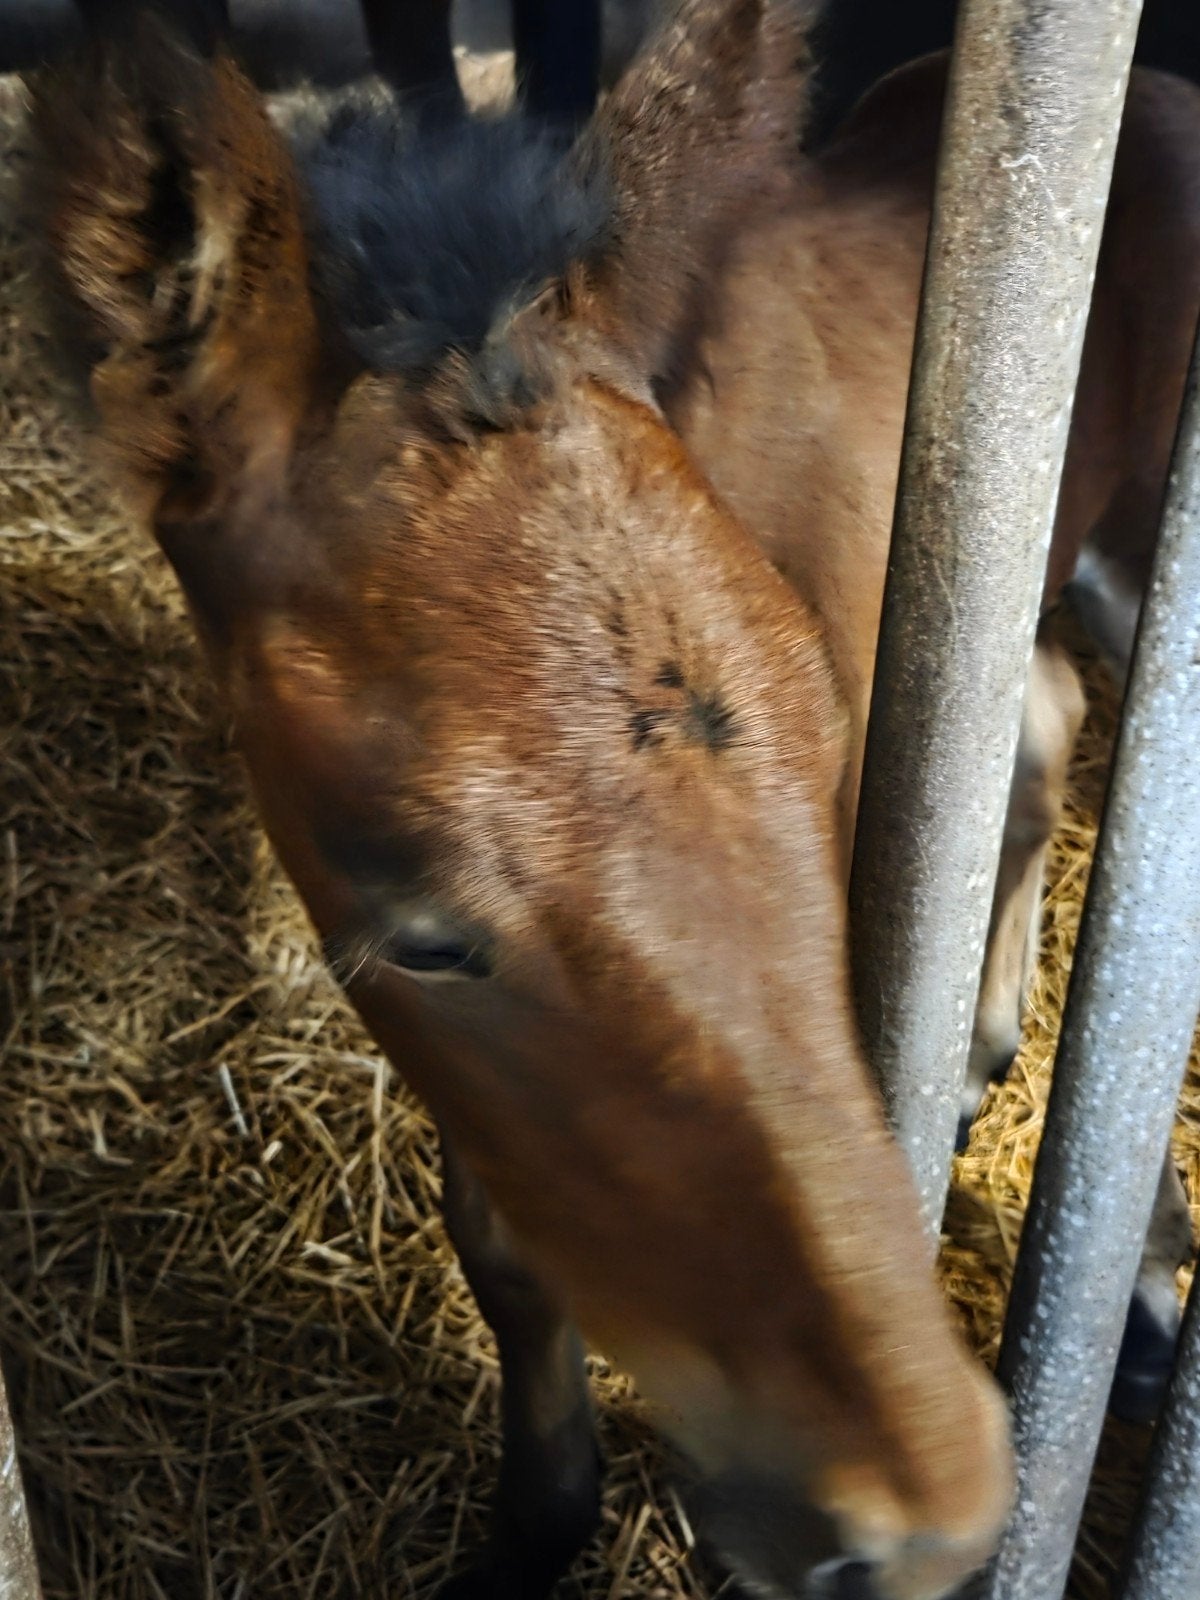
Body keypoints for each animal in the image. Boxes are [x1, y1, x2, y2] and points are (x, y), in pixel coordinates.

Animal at [25, 0, 1200, 1593]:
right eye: (427, 937)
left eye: (824, 762)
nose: (924, 1524)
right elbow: (506, 1243)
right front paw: (539, 1519)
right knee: (1044, 731)